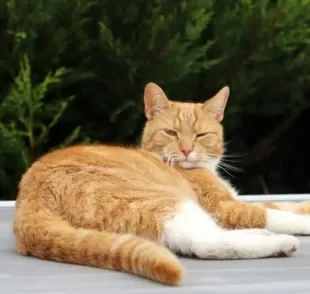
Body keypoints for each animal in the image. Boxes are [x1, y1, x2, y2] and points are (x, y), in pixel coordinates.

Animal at [12, 81, 310, 286]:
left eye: (201, 135)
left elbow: (286, 206)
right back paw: (279, 242)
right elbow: (275, 213)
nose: (187, 150)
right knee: (203, 242)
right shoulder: (225, 208)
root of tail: (29, 202)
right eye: (171, 132)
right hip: (163, 200)